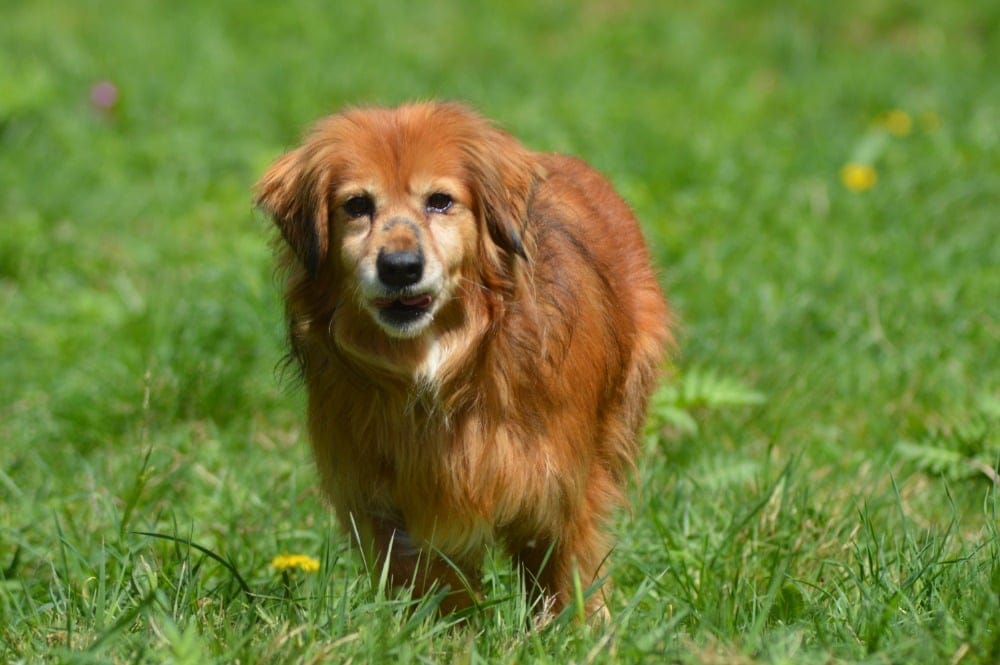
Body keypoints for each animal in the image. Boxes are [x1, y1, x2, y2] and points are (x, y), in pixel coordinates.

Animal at [255, 102, 671, 618]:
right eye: (356, 205)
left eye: (440, 201)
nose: (400, 267)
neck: (444, 364)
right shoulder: (393, 504)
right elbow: (439, 589)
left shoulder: (563, 487)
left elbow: (565, 573)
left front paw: (578, 629)